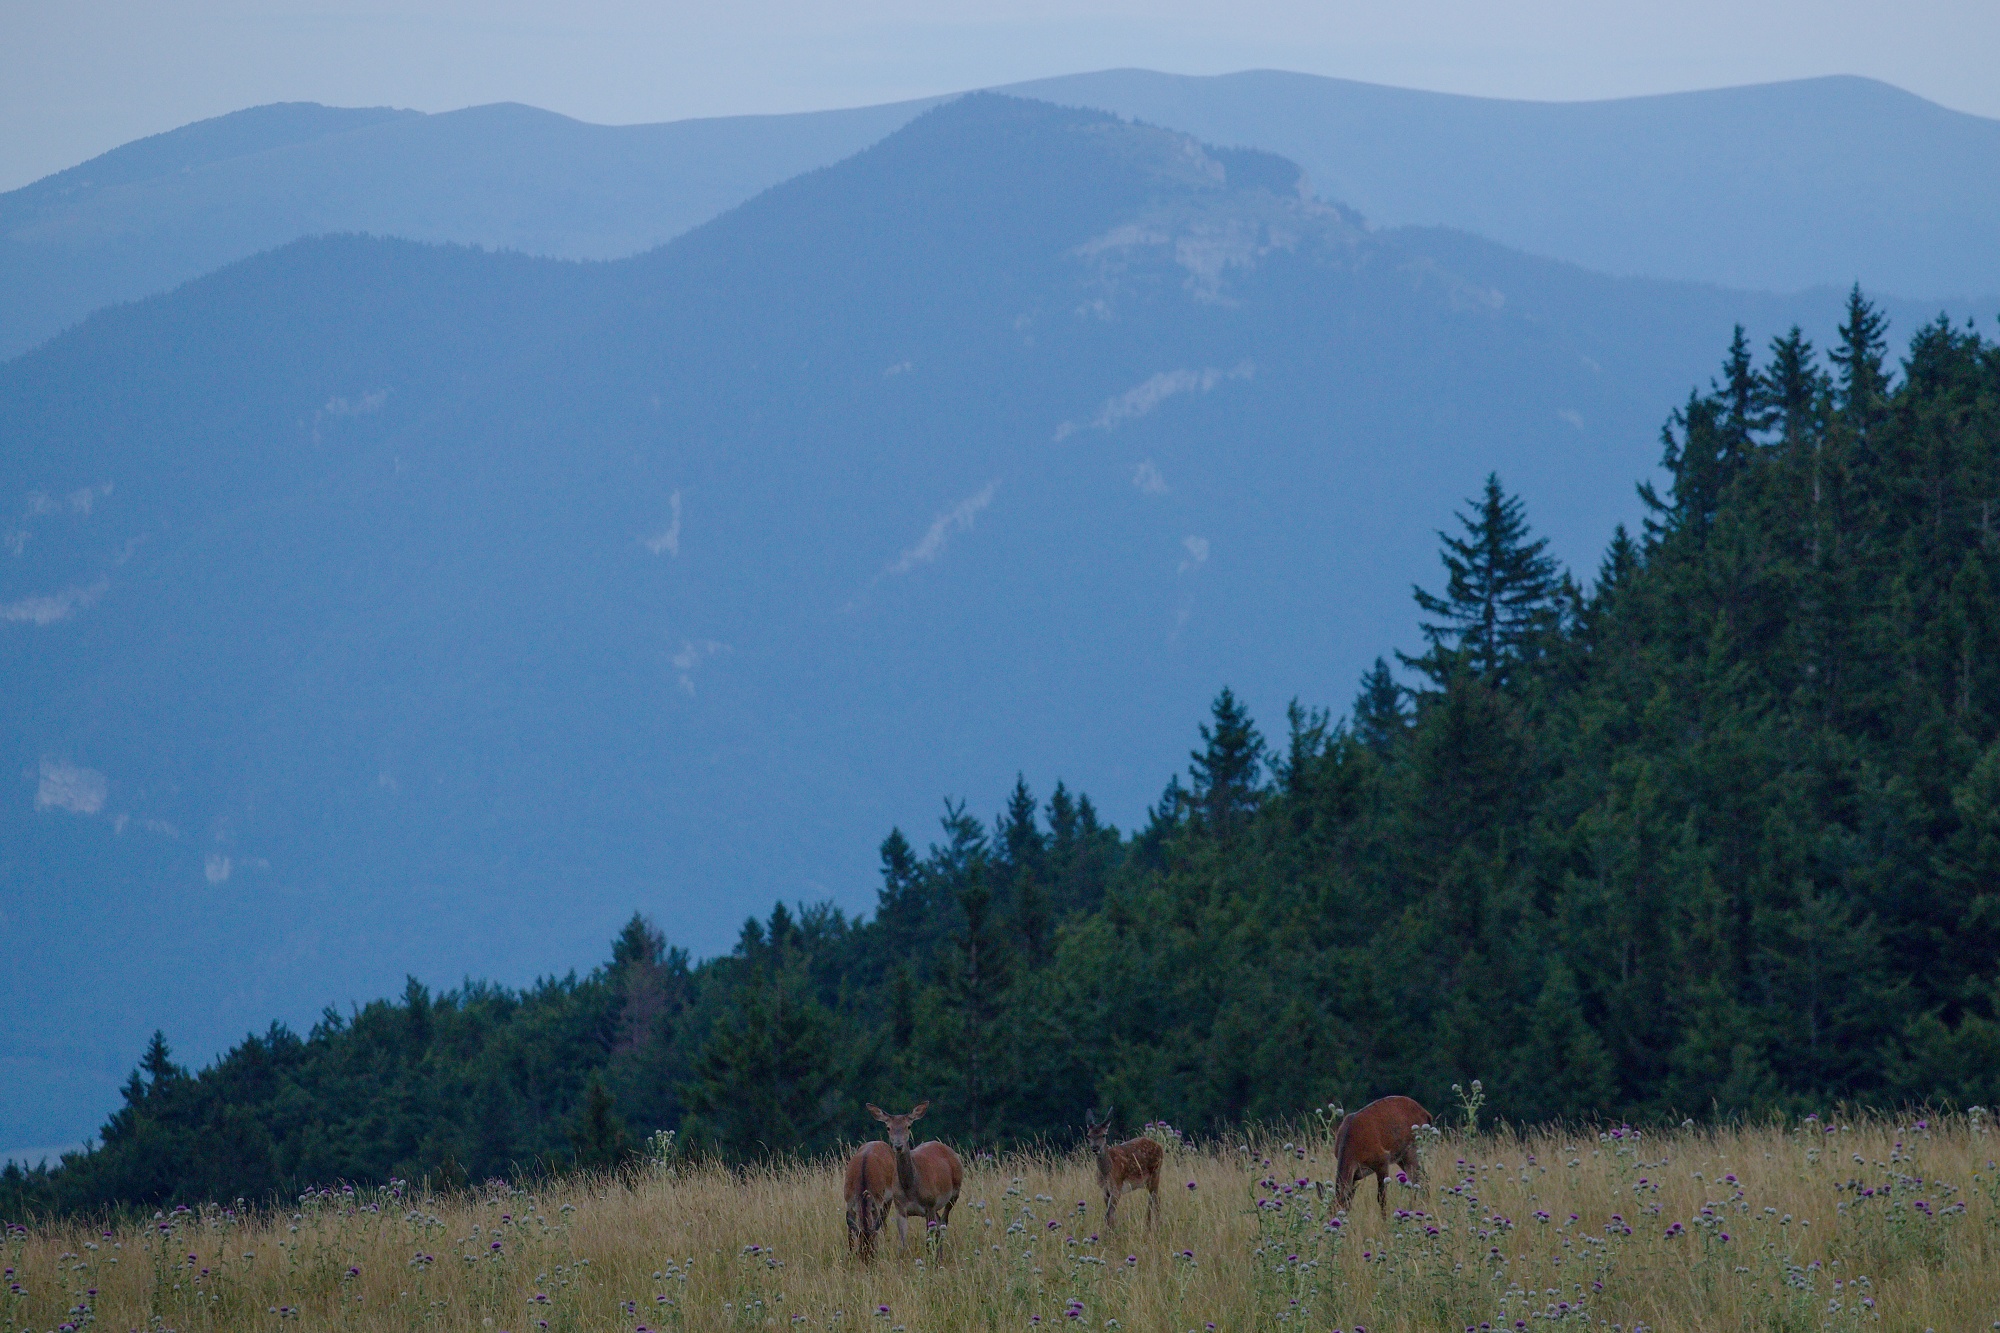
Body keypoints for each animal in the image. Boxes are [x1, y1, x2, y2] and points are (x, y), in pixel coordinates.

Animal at [840, 1128, 896, 1256]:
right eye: (859, 1253)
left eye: (873, 1253)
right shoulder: (849, 1202)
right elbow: (850, 1231)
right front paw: (849, 1253)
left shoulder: (877, 1202)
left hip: (889, 1198)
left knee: (884, 1221)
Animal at [868, 1096, 968, 1248]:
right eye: (888, 1127)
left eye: (908, 1126)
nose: (898, 1146)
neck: (910, 1187)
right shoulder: (900, 1208)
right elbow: (903, 1244)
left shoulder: (930, 1204)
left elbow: (928, 1243)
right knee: (939, 1224)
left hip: (954, 1191)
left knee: (944, 1223)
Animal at [1088, 1096, 1168, 1224]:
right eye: (1088, 1135)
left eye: (1104, 1134)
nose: (1095, 1148)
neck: (1107, 1171)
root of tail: (1159, 1146)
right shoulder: (1104, 1191)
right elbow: (1110, 1216)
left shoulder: (1117, 1187)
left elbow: (1108, 1215)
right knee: (1153, 1198)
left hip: (1156, 1173)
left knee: (1155, 1199)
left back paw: (1155, 1224)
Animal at [1320, 1088, 1432, 1216]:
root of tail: (1427, 1114)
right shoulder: (1355, 1174)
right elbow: (1350, 1200)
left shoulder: (1382, 1160)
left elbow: (1381, 1198)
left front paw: (1385, 1219)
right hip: (1402, 1157)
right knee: (1422, 1179)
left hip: (1413, 1148)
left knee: (1418, 1181)